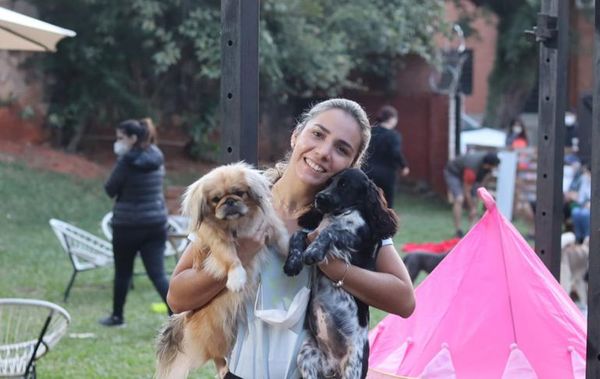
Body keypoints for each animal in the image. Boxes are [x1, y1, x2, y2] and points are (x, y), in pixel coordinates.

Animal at [154, 163, 288, 379]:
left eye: (239, 193)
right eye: (216, 199)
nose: (230, 201)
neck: (236, 223)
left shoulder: (269, 223)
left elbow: (282, 236)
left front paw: (292, 251)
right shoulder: (218, 242)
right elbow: (231, 257)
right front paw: (237, 278)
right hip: (217, 332)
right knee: (216, 355)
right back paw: (223, 368)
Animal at [282, 168, 398, 379]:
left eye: (345, 185)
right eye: (328, 182)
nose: (319, 198)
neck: (338, 214)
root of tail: (333, 366)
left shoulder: (357, 241)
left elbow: (330, 232)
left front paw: (313, 252)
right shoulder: (310, 232)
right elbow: (299, 234)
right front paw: (293, 263)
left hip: (353, 368)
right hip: (307, 356)